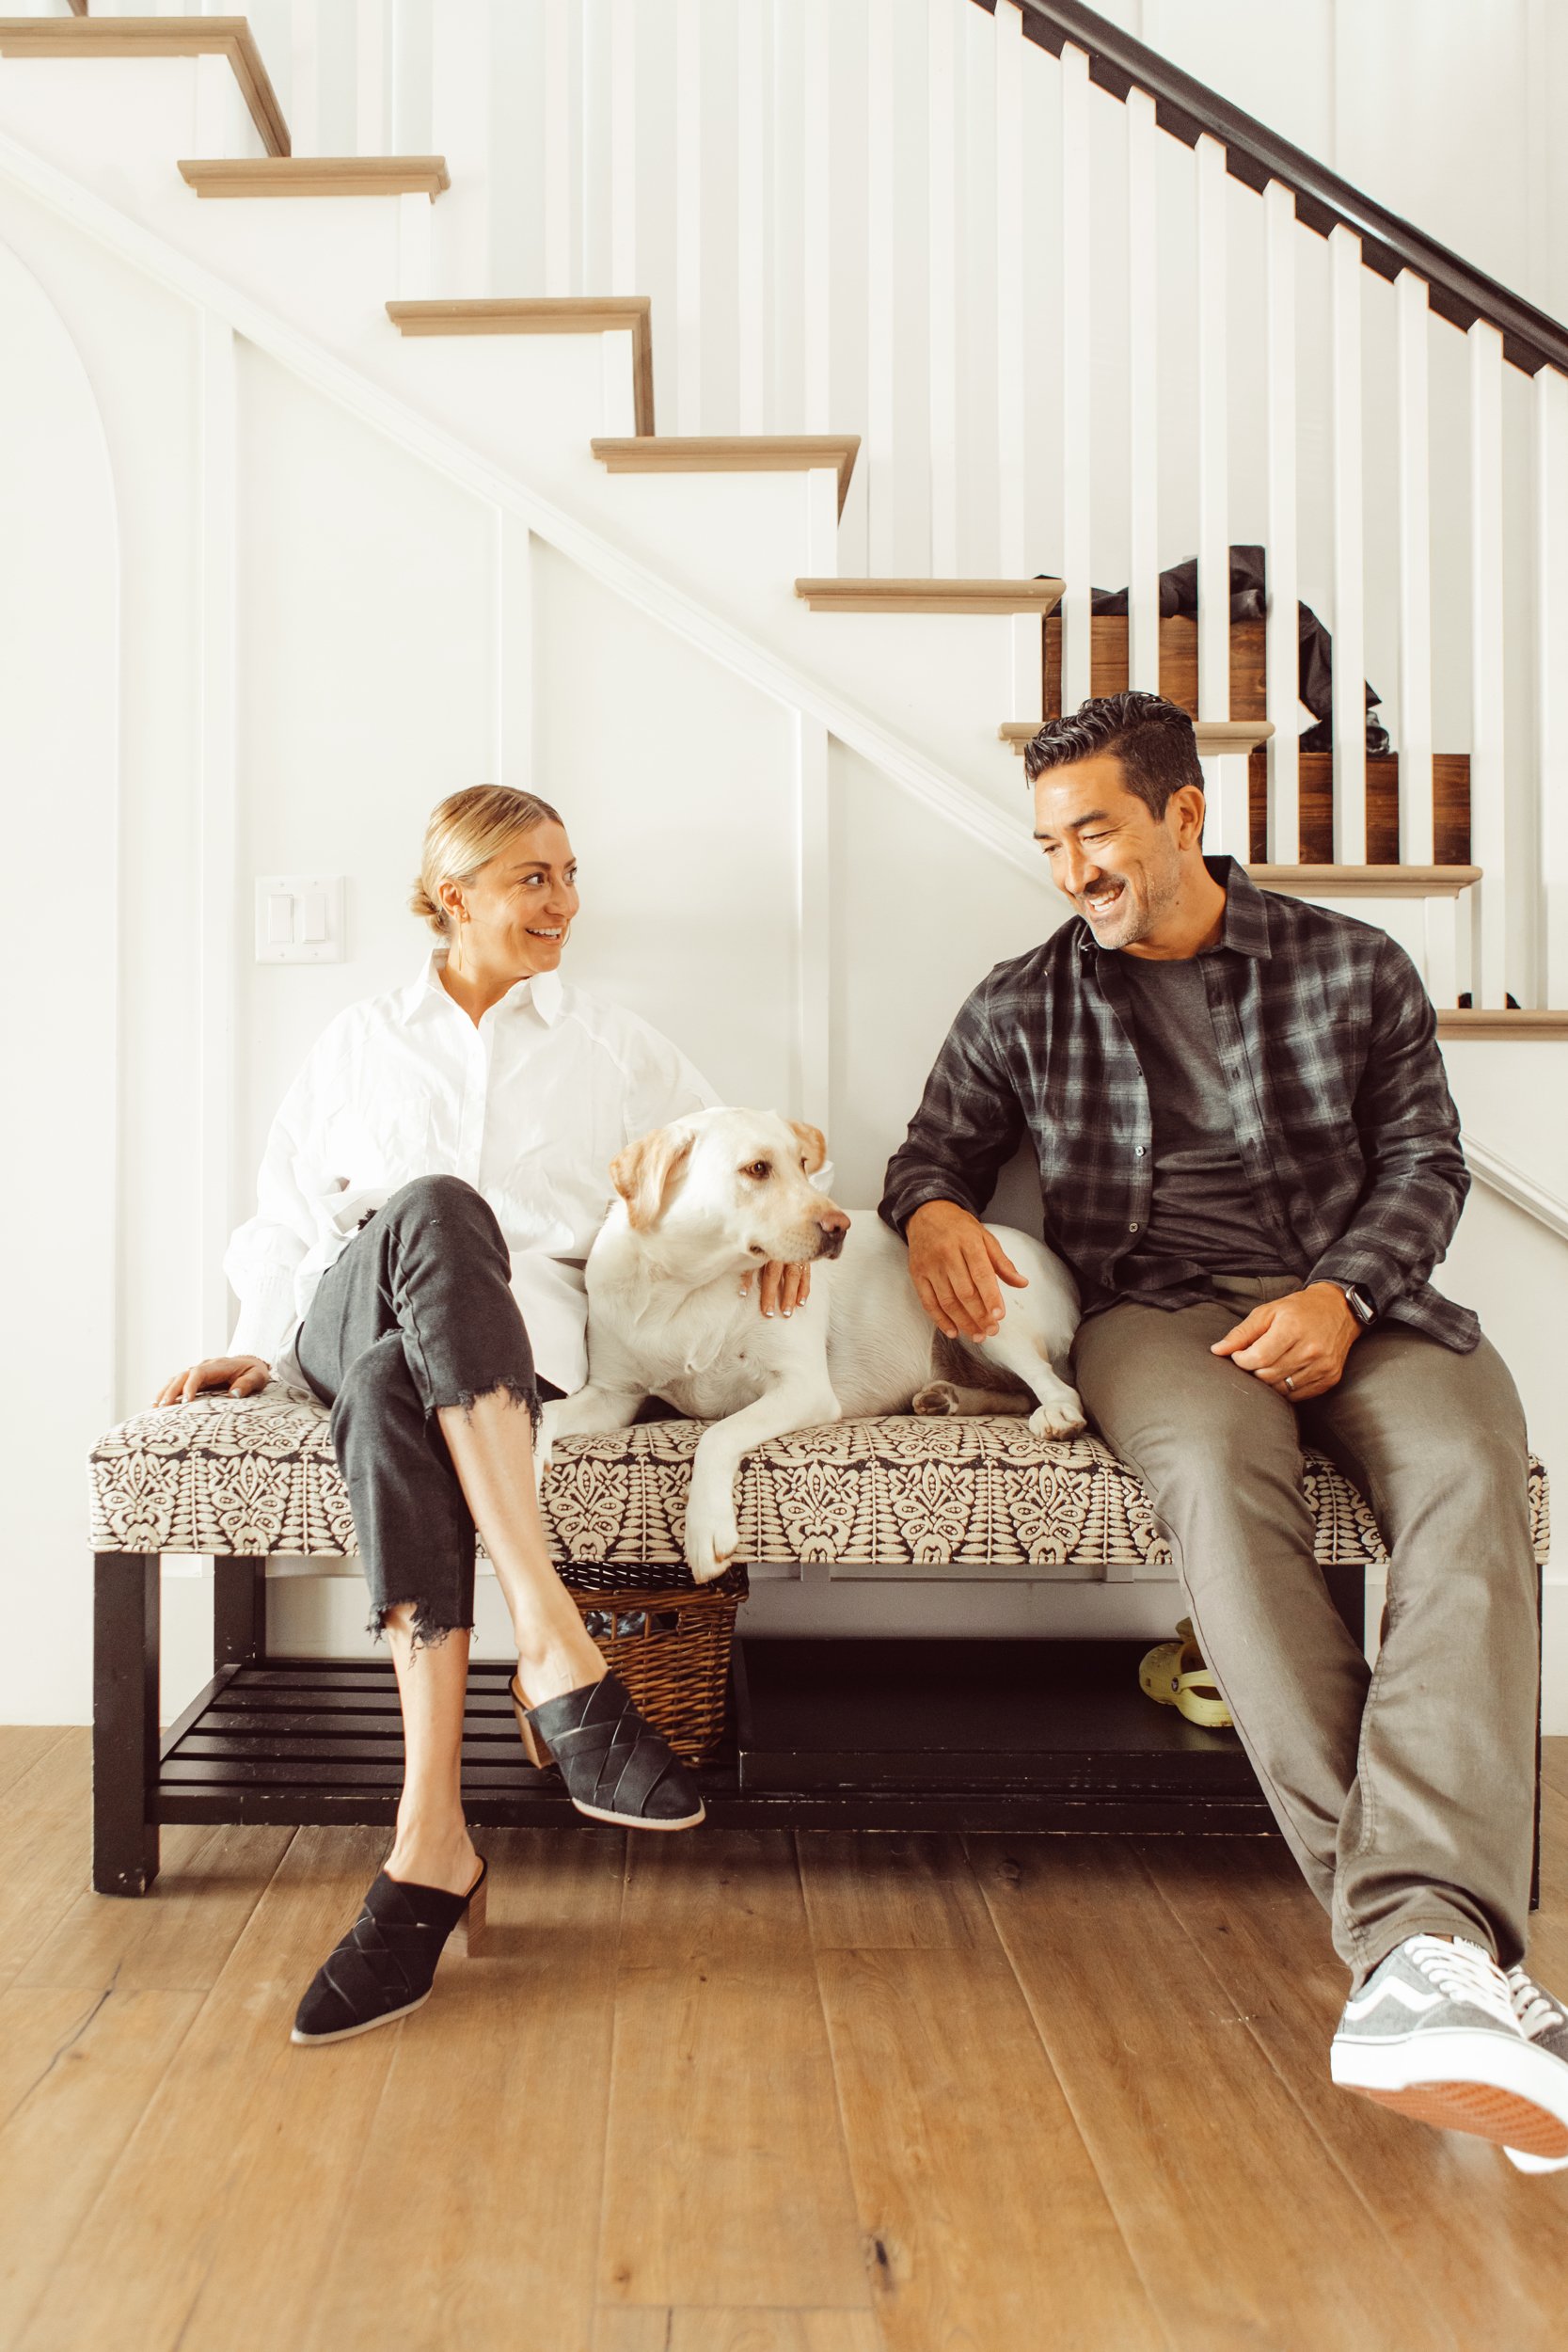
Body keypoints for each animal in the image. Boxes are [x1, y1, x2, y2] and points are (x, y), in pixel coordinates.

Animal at [533, 1110, 1085, 1590]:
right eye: (757, 1168)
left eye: (803, 1164)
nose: (840, 1227)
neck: (687, 1288)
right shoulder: (613, 1396)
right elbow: (548, 1413)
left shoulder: (803, 1388)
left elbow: (716, 1435)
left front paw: (705, 1529)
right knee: (1014, 1393)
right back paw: (945, 1398)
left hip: (981, 1308)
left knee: (1053, 1385)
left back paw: (1056, 1416)